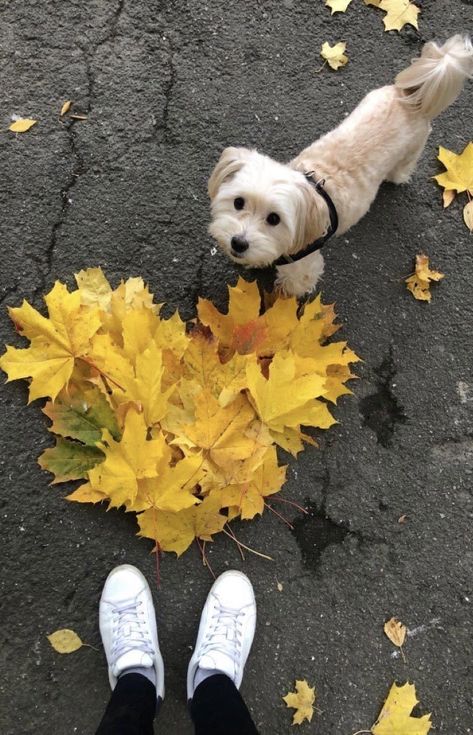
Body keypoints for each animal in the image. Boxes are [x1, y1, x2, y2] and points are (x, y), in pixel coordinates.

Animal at [207, 36, 472, 296]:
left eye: (274, 219)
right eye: (238, 202)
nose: (238, 243)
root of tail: (412, 95)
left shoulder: (304, 262)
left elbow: (296, 285)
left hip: (412, 149)